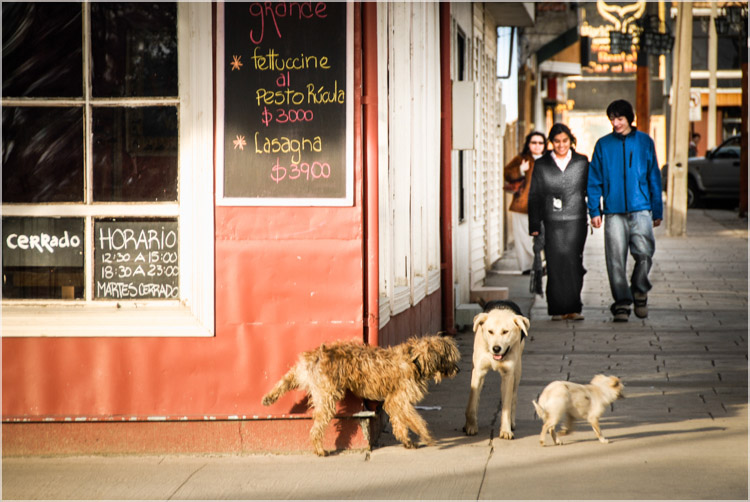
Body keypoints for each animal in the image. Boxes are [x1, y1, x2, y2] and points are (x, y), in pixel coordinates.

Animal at [264, 336, 464, 456]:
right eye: (450, 358)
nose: (458, 370)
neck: (415, 359)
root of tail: (317, 356)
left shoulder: (394, 402)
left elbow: (400, 423)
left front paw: (407, 441)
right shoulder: (398, 400)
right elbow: (415, 419)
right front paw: (426, 435)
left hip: (303, 378)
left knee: (285, 381)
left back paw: (268, 398)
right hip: (327, 398)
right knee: (315, 429)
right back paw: (320, 450)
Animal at [464, 302, 528, 440]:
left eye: (505, 332)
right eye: (490, 332)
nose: (496, 348)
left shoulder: (508, 376)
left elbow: (506, 407)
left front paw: (505, 430)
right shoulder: (478, 372)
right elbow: (472, 402)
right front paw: (470, 426)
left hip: (517, 370)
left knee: (514, 396)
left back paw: (512, 423)